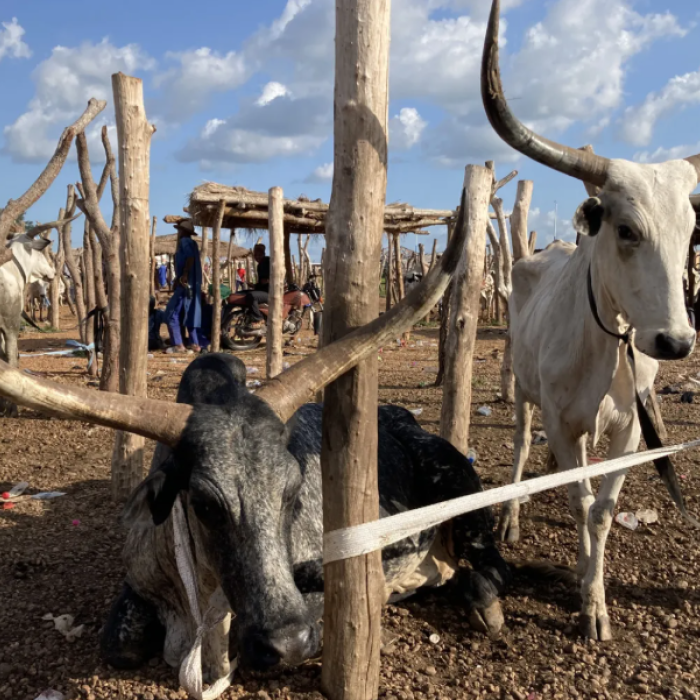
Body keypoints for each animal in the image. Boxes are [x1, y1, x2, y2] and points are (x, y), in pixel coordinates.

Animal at [0, 191, 509, 680]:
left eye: (294, 491)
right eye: (205, 504)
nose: (287, 643)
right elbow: (119, 646)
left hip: (457, 482)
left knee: (491, 565)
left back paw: (485, 601)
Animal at [482, 0, 699, 641]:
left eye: (690, 232)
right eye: (626, 229)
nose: (675, 341)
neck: (607, 348)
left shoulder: (630, 430)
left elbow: (601, 511)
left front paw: (594, 595)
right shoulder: (561, 420)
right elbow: (578, 501)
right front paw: (587, 597)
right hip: (521, 386)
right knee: (521, 447)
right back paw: (511, 513)